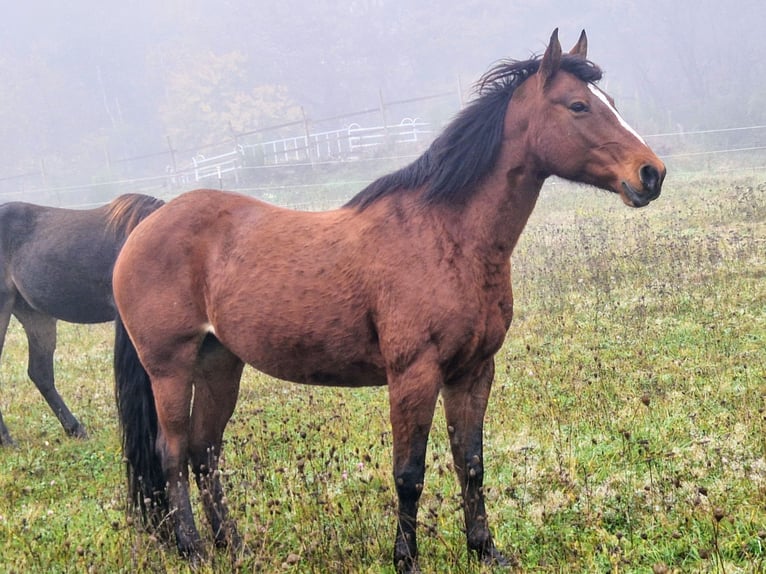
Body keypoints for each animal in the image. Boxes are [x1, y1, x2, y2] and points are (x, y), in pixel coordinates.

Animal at [114, 29, 664, 572]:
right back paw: (192, 548)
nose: (650, 174)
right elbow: (409, 473)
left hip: (220, 361)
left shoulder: (473, 371)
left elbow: (471, 463)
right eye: (578, 105)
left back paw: (234, 545)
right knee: (172, 451)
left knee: (204, 450)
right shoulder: (413, 375)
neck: (446, 235)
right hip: (171, 367)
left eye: (609, 102)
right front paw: (406, 559)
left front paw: (484, 549)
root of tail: (149, 220)